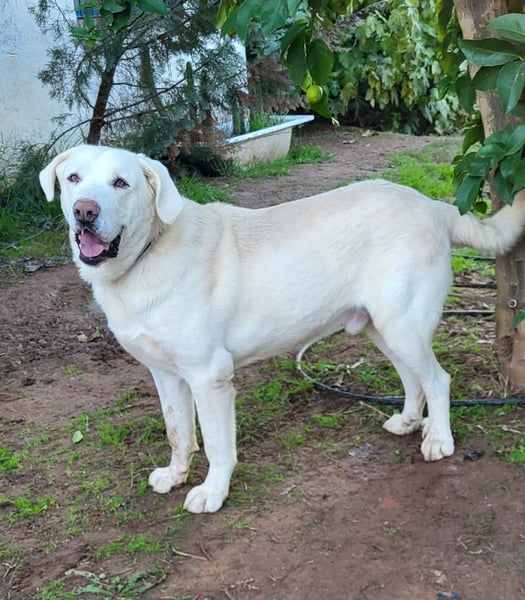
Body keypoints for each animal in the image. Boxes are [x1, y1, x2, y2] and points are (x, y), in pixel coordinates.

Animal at [40, 144, 525, 513]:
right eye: (74, 179)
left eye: (121, 183)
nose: (84, 211)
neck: (145, 256)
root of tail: (431, 204)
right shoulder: (166, 375)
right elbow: (179, 434)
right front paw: (176, 475)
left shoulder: (209, 376)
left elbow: (216, 445)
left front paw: (212, 492)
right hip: (383, 328)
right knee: (414, 379)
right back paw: (408, 422)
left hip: (402, 325)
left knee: (438, 380)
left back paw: (439, 440)